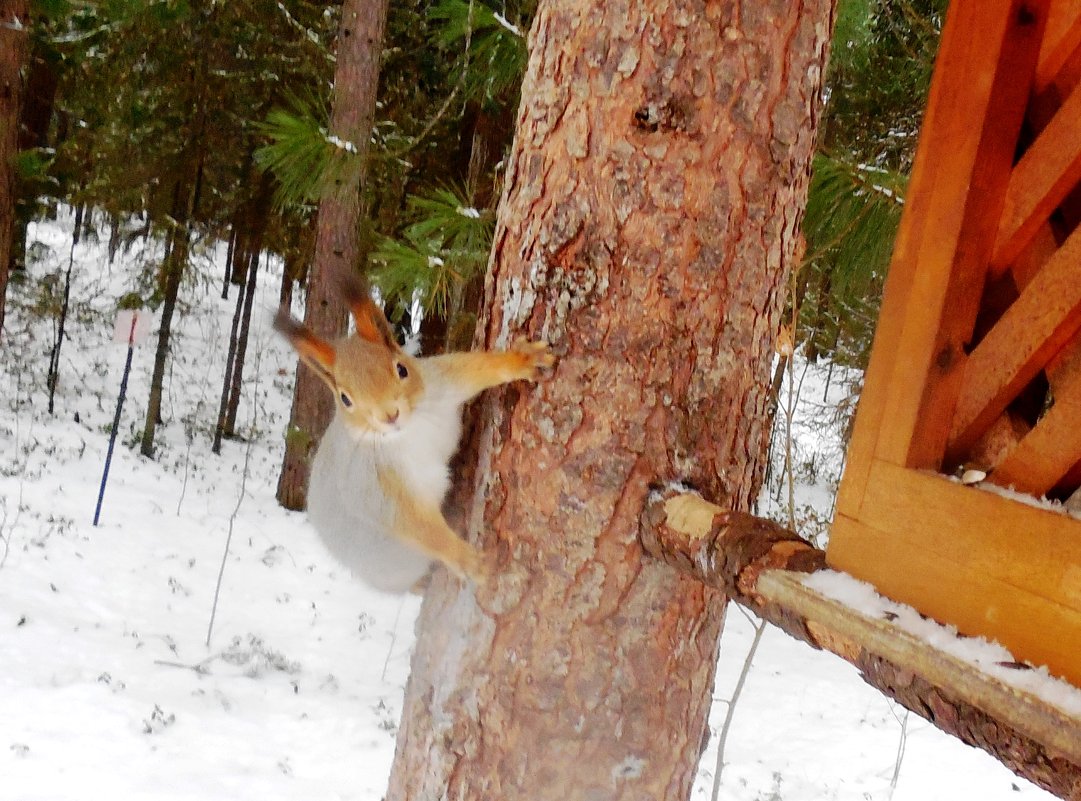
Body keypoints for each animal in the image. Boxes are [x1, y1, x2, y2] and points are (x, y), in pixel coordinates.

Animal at [274, 271, 553, 592]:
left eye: (402, 368)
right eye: (345, 399)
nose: (389, 415)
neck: (408, 430)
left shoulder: (440, 382)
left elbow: (476, 368)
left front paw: (522, 360)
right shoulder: (371, 483)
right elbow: (418, 527)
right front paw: (467, 561)